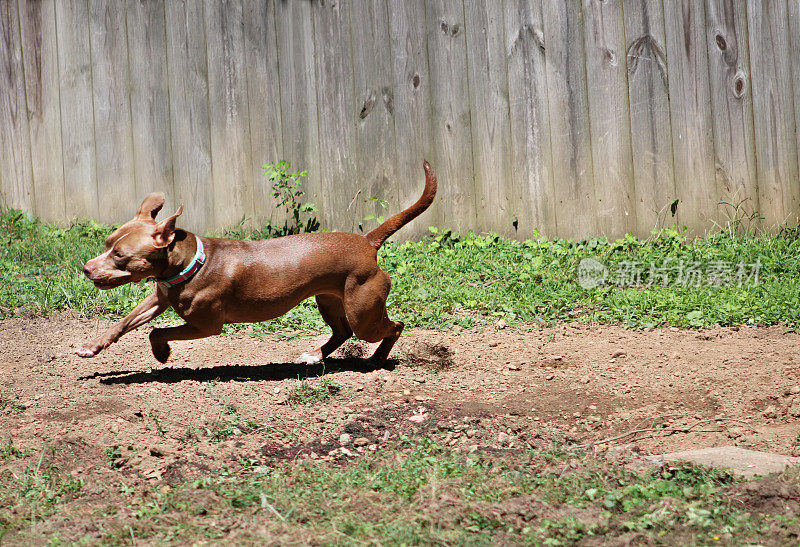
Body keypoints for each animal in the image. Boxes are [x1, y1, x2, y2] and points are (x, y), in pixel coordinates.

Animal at [78, 161, 434, 364]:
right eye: (107, 244)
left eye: (120, 256)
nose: (86, 268)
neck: (192, 262)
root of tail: (367, 241)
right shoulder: (159, 297)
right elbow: (124, 323)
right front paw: (92, 347)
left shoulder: (207, 326)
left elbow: (157, 332)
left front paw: (161, 353)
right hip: (330, 300)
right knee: (342, 332)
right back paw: (315, 355)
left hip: (363, 312)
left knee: (394, 327)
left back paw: (379, 358)